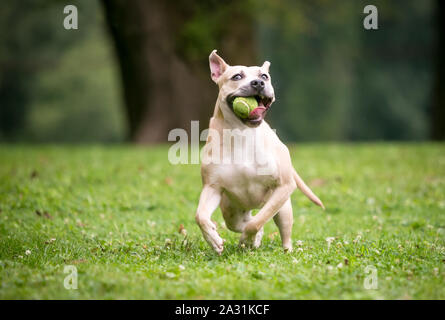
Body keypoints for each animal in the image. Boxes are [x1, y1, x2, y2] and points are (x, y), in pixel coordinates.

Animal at [194, 50, 322, 254]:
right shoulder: (212, 187)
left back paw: (283, 249)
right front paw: (213, 239)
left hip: (283, 209)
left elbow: (257, 222)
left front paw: (247, 239)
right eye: (237, 76)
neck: (241, 133)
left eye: (264, 76)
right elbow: (200, 216)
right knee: (242, 222)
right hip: (231, 212)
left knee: (275, 226)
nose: (258, 83)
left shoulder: (284, 187)